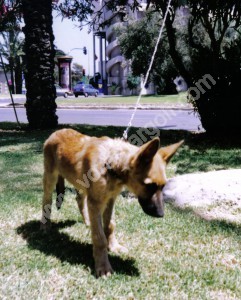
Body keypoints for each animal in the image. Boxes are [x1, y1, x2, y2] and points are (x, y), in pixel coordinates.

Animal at [40, 128, 183, 276]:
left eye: (163, 186)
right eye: (150, 186)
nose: (161, 214)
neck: (111, 164)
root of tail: (57, 132)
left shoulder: (110, 199)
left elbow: (110, 226)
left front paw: (113, 247)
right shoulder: (95, 203)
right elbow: (99, 237)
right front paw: (102, 266)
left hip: (81, 185)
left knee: (79, 199)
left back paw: (87, 221)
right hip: (50, 179)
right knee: (46, 202)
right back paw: (45, 225)